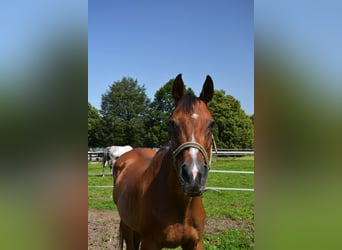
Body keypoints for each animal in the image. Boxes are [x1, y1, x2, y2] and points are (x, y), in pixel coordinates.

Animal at [113, 73, 214, 249]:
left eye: (211, 124)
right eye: (172, 123)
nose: (193, 176)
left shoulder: (195, 242)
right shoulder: (150, 243)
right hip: (127, 227)